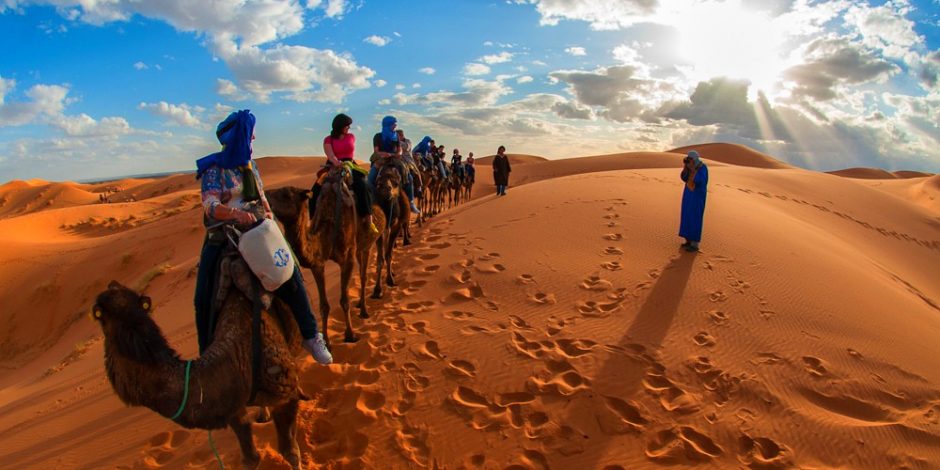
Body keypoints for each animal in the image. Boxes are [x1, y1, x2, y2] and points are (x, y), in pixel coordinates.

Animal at [92, 280, 304, 468]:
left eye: (98, 314)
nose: (112, 282)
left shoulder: (283, 394)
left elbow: (291, 453)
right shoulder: (232, 408)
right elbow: (250, 458)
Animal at [264, 171, 382, 346]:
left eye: (286, 194)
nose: (264, 195)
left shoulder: (347, 259)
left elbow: (344, 300)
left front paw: (350, 335)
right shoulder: (317, 264)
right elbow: (323, 305)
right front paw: (326, 341)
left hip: (366, 244)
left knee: (363, 275)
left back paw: (364, 310)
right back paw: (360, 304)